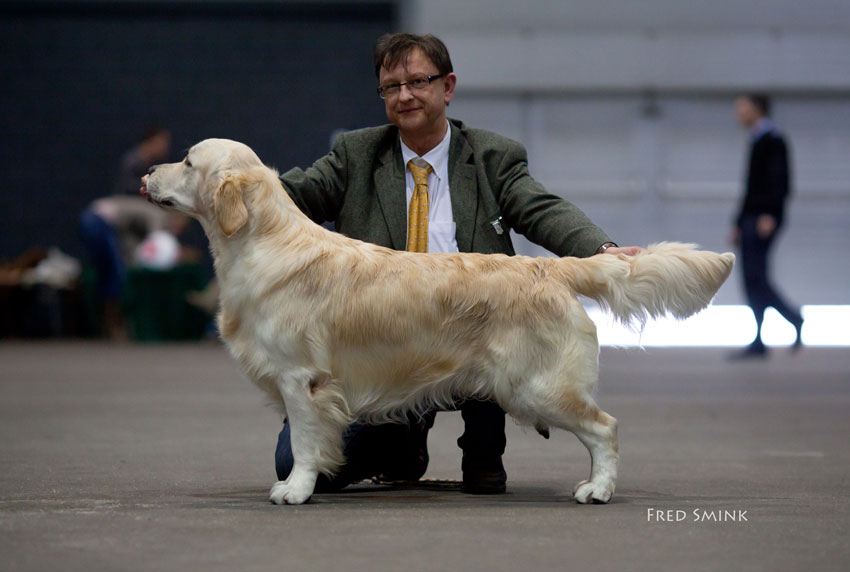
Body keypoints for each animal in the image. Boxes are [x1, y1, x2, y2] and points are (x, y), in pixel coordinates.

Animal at [141, 139, 736, 504]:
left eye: (188, 162)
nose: (146, 174)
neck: (263, 241)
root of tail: (550, 266)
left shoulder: (301, 379)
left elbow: (306, 444)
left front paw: (295, 489)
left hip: (538, 385)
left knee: (605, 427)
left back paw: (598, 490)